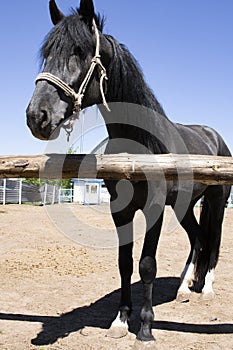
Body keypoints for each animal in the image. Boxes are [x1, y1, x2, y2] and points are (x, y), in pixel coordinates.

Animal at [26, 0, 230, 344]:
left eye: (79, 51)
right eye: (47, 53)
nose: (36, 116)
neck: (139, 145)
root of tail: (215, 137)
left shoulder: (154, 209)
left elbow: (147, 265)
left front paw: (145, 328)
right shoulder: (120, 210)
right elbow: (124, 263)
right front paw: (121, 320)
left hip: (215, 202)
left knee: (212, 242)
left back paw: (207, 290)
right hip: (185, 205)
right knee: (198, 239)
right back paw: (183, 288)